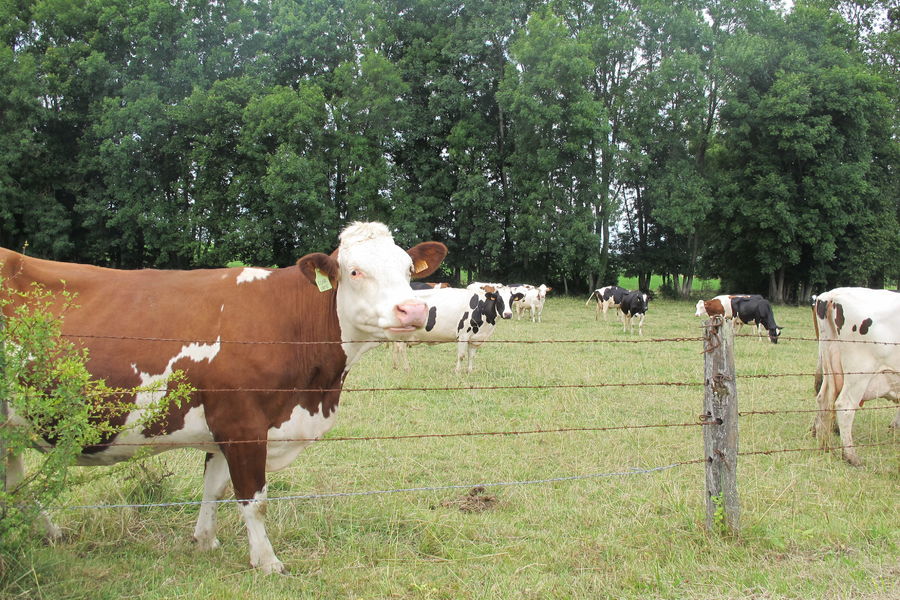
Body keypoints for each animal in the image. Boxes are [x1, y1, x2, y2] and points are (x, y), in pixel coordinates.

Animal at [0, 223, 448, 576]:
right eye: (354, 271)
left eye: (408, 270)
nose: (412, 310)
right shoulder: (244, 425)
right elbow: (253, 499)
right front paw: (267, 562)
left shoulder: (225, 427)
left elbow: (213, 488)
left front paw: (205, 540)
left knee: (15, 483)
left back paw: (52, 532)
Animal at [388, 284, 520, 372]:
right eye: (498, 299)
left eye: (511, 299)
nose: (508, 314)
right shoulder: (463, 335)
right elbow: (461, 355)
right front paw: (457, 372)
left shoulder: (475, 338)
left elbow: (471, 355)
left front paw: (469, 371)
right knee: (401, 349)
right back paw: (406, 368)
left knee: (396, 348)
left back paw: (396, 366)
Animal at [808, 288, 900, 466]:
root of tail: (832, 296)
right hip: (860, 374)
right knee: (845, 405)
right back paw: (851, 456)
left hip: (829, 363)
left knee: (824, 399)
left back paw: (825, 446)